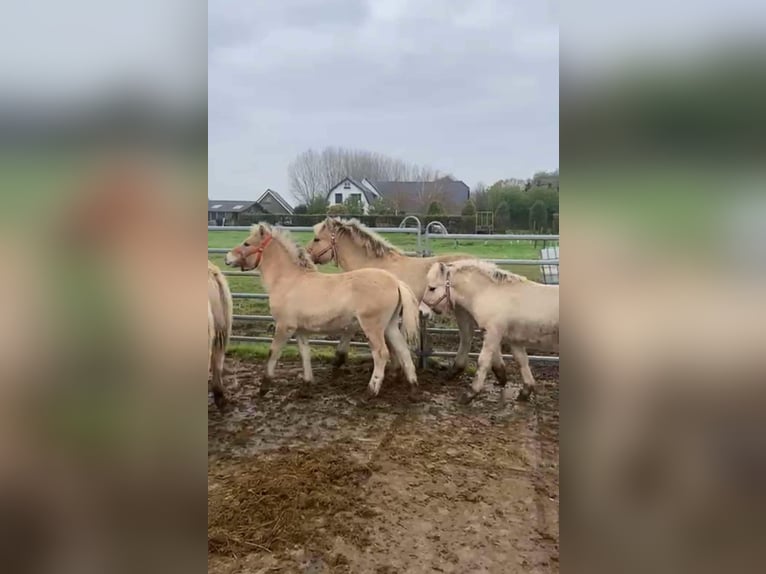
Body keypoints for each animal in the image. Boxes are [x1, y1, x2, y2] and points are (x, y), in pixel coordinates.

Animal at [308, 218, 508, 384]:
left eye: (317, 239)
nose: (308, 256)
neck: (375, 267)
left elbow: (354, 331)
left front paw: (339, 359)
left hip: (462, 310)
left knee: (468, 335)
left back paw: (460, 370)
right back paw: (495, 372)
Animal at [424, 262, 560, 404]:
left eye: (432, 288)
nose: (422, 312)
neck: (489, 294)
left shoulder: (493, 334)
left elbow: (483, 361)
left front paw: (470, 394)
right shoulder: (514, 340)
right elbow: (521, 361)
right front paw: (525, 392)